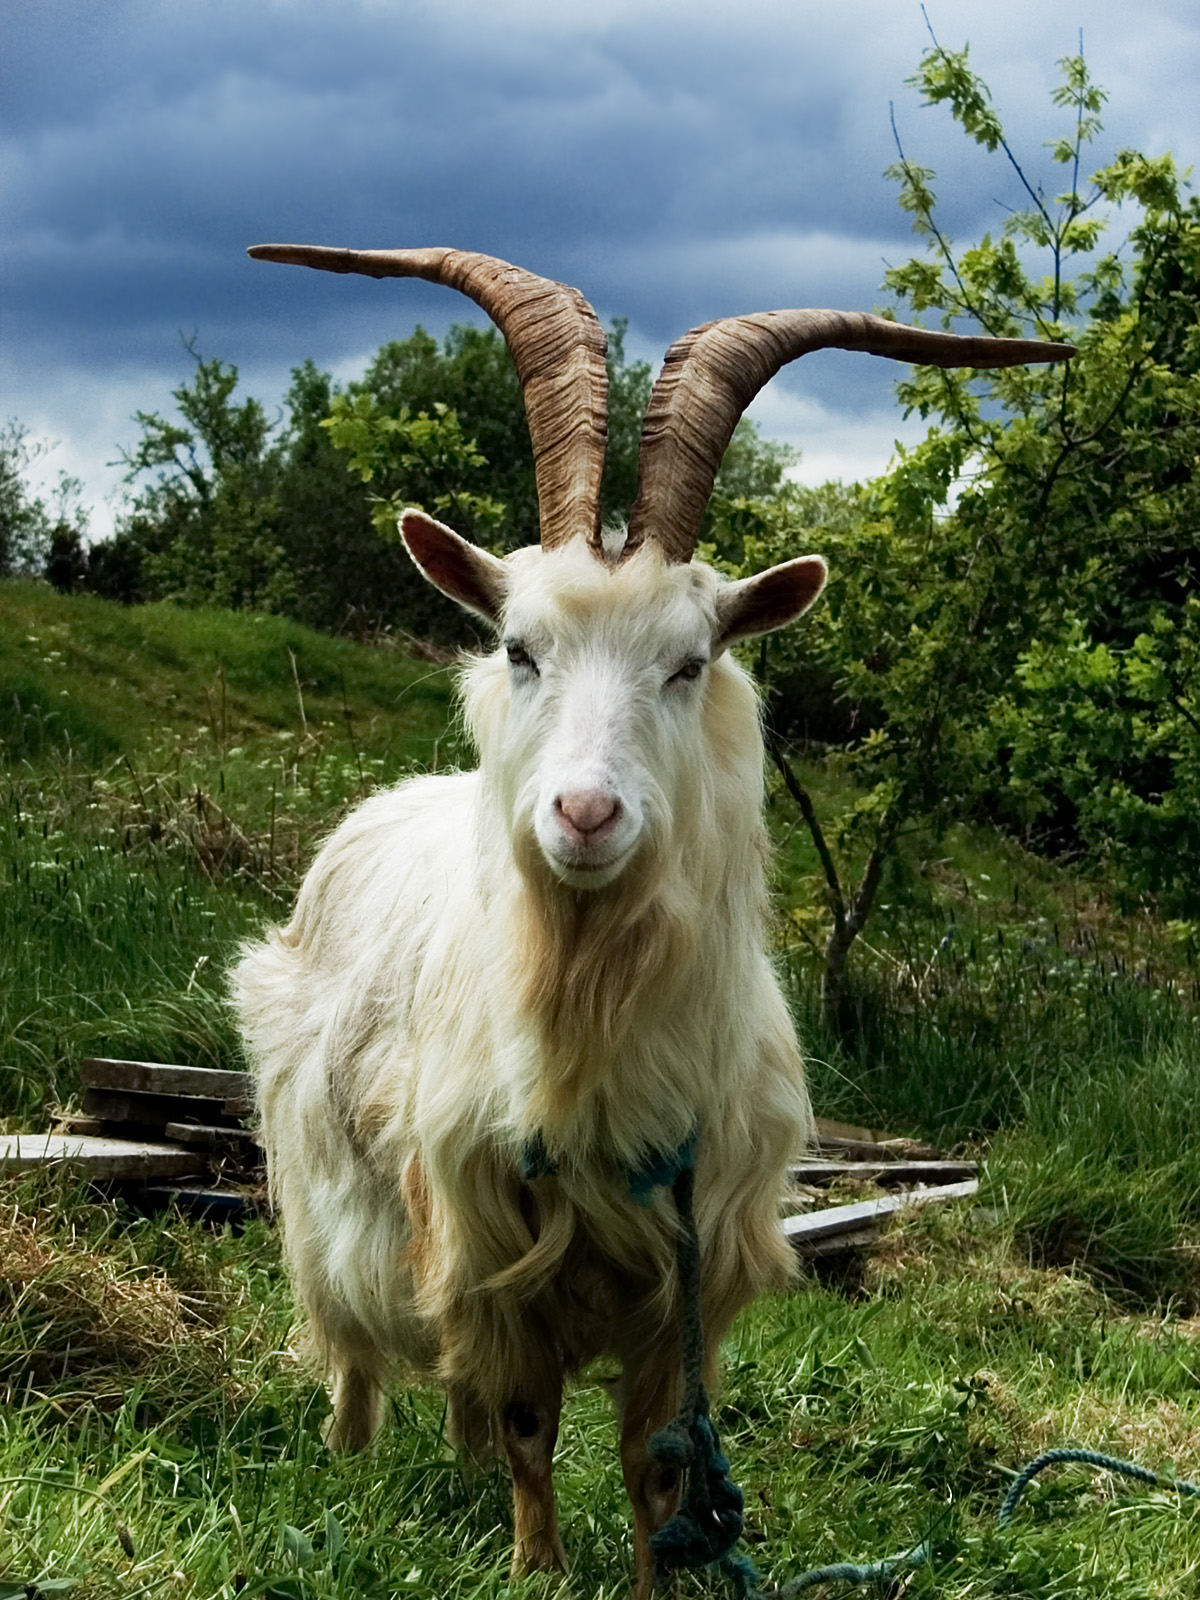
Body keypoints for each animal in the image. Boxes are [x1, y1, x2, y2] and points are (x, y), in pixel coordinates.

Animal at [232, 244, 1071, 1596]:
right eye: (518, 648)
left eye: (689, 663)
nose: (583, 812)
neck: (590, 1012)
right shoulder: (488, 1230)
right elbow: (529, 1418)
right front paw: (534, 1566)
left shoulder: (691, 1260)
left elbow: (660, 1459)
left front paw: (648, 1573)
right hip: (320, 1181)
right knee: (355, 1343)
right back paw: (350, 1465)